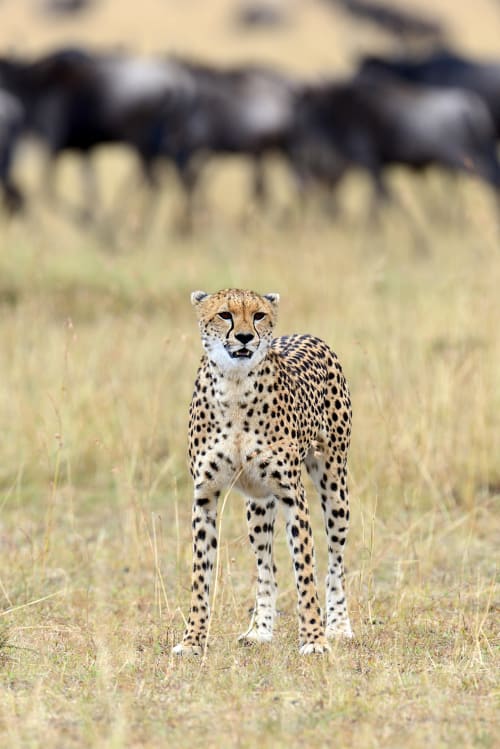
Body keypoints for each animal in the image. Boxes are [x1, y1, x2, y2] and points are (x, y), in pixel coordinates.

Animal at [174, 290, 354, 652]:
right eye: (225, 315)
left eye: (258, 315)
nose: (245, 337)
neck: (234, 385)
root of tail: (306, 334)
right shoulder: (204, 496)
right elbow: (201, 576)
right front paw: (192, 641)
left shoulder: (291, 493)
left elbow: (305, 570)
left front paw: (314, 639)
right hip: (257, 505)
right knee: (266, 566)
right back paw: (259, 629)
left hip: (334, 484)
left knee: (335, 559)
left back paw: (339, 625)